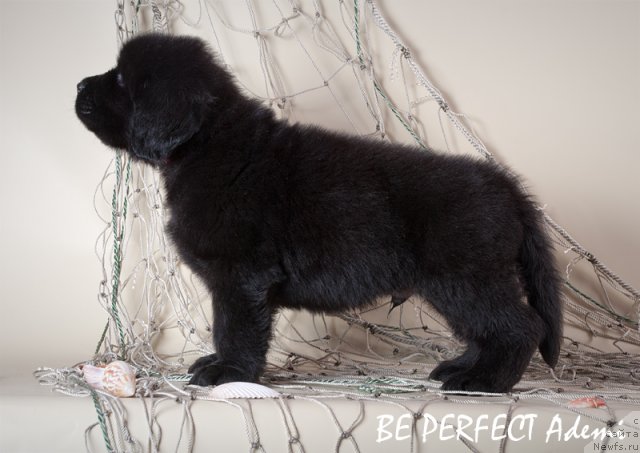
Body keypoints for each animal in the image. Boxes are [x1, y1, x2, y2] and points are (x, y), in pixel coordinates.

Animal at [77, 32, 564, 392]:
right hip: (465, 284)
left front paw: (228, 372)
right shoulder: (235, 279)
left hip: (466, 279)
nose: (80, 85)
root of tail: (509, 188)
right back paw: (461, 368)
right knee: (490, 331)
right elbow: (226, 326)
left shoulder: (240, 275)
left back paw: (484, 382)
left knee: (520, 326)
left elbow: (234, 327)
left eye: (121, 81)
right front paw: (221, 364)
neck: (208, 144)